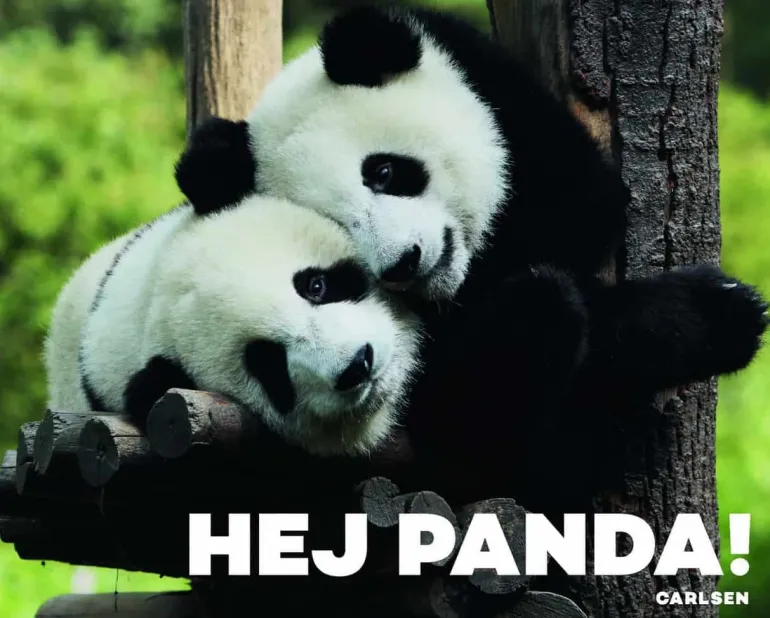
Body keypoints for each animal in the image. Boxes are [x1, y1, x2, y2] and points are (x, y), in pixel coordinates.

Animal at [172, 6, 768, 504]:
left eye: (383, 172)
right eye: (339, 227)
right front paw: (716, 316)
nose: (404, 263)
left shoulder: (503, 99)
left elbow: (586, 211)